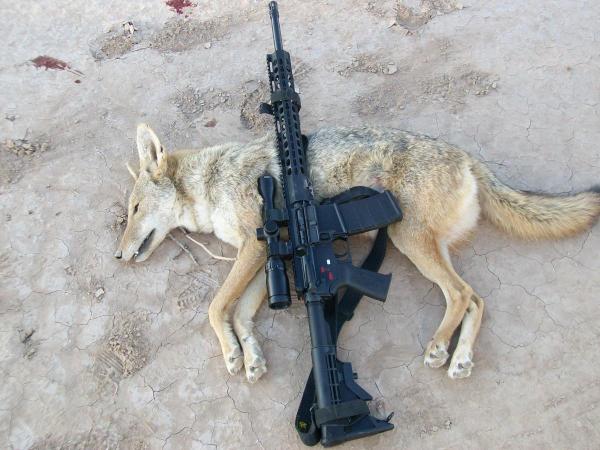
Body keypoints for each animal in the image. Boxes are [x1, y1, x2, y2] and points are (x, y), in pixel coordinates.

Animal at [115, 123, 600, 383]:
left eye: (134, 210)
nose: (118, 256)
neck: (212, 180)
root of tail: (465, 156)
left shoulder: (255, 248)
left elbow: (216, 308)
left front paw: (233, 355)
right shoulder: (267, 258)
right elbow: (240, 314)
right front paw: (249, 356)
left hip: (408, 240)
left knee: (461, 295)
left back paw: (439, 348)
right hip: (426, 247)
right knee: (477, 298)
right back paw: (460, 358)